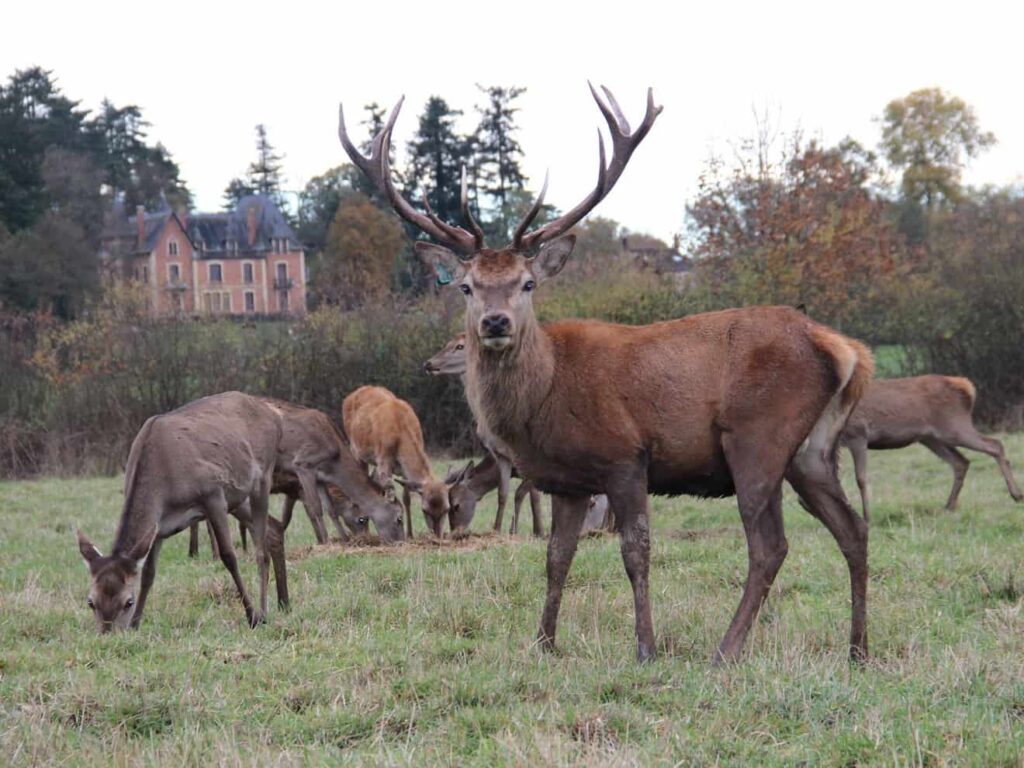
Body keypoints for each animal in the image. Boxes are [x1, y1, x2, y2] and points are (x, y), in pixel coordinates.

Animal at [74, 393, 284, 634]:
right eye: (90, 601)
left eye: (128, 601)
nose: (109, 635)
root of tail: (275, 414)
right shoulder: (158, 527)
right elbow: (148, 573)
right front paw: (136, 624)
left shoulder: (213, 493)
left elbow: (229, 556)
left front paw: (251, 616)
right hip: (238, 498)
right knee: (274, 528)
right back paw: (284, 602)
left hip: (263, 477)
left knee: (261, 550)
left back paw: (264, 611)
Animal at [339, 385, 448, 540]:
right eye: (425, 510)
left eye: (447, 509)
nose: (438, 535)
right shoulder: (384, 460)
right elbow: (389, 494)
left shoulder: (403, 471)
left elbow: (406, 497)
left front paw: (410, 534)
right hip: (356, 450)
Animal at [843, 374, 1019, 524]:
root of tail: (967, 387)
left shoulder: (858, 434)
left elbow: (860, 479)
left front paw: (866, 517)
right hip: (931, 438)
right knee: (961, 461)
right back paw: (949, 506)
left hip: (953, 427)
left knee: (995, 444)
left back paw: (1017, 494)